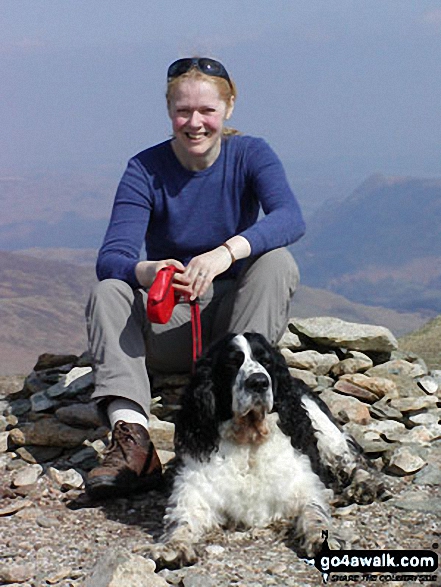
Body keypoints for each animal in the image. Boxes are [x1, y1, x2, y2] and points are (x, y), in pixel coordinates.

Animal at [154, 336, 382, 568]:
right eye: (231, 362)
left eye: (267, 361)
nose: (259, 382)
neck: (249, 440)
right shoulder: (193, 491)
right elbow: (181, 520)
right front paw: (174, 547)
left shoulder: (300, 487)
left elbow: (314, 513)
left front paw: (322, 539)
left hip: (325, 430)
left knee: (352, 460)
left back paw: (364, 486)